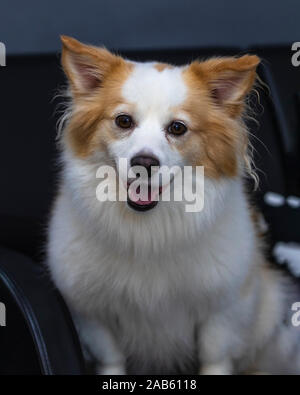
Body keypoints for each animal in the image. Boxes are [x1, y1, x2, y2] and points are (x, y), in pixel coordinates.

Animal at [47, 36, 300, 374]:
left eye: (177, 128)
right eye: (123, 121)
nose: (144, 163)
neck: (149, 230)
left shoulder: (222, 314)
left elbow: (214, 359)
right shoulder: (93, 315)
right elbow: (111, 360)